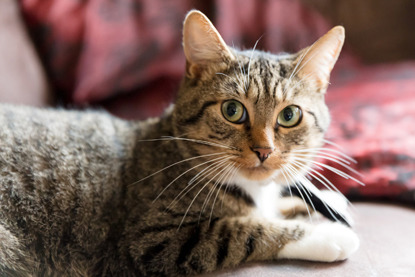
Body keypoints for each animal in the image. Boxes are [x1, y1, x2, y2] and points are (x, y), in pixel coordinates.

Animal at [0, 9, 360, 274]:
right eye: (232, 110)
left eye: (289, 115)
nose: (264, 150)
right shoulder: (151, 239)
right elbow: (241, 229)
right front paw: (326, 233)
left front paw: (323, 198)